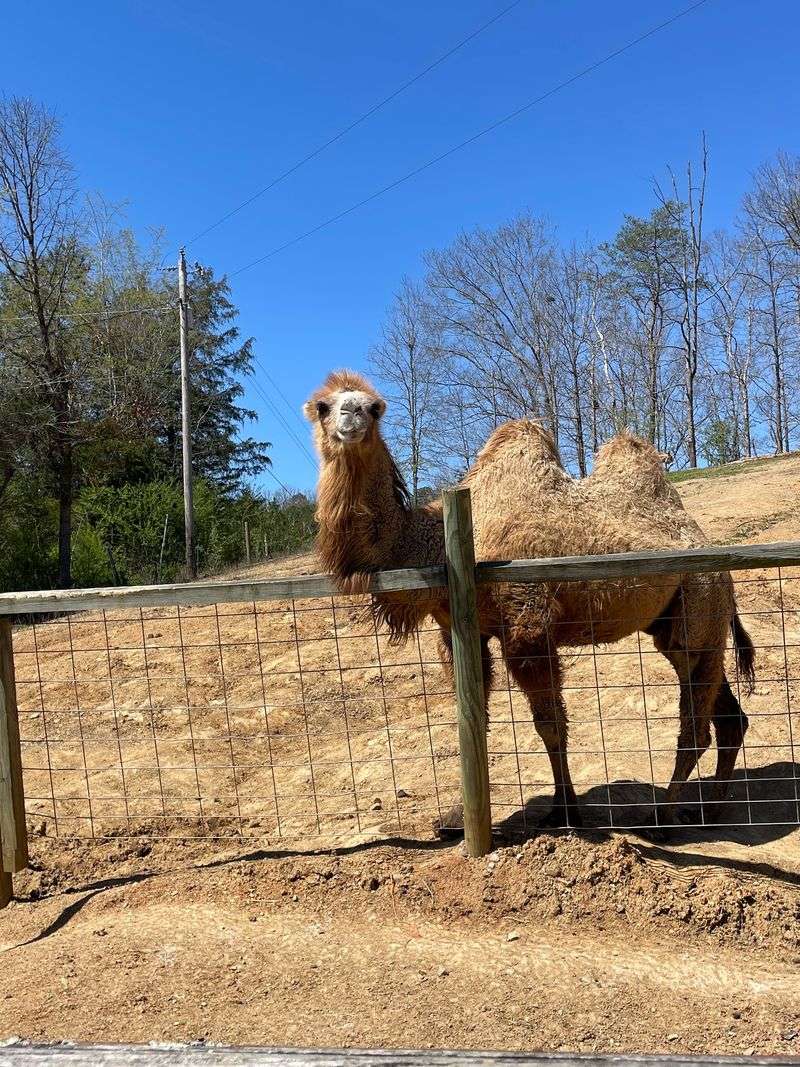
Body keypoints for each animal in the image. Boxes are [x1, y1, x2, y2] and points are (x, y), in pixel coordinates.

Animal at [304, 370, 755, 829]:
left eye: (374, 408)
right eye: (324, 406)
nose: (351, 417)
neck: (438, 545)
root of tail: (715, 558)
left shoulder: (527, 627)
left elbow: (550, 725)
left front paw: (565, 811)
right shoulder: (460, 633)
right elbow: (475, 720)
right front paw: (455, 817)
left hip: (701, 598)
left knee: (697, 724)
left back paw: (663, 816)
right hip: (679, 625)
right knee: (728, 716)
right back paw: (712, 807)